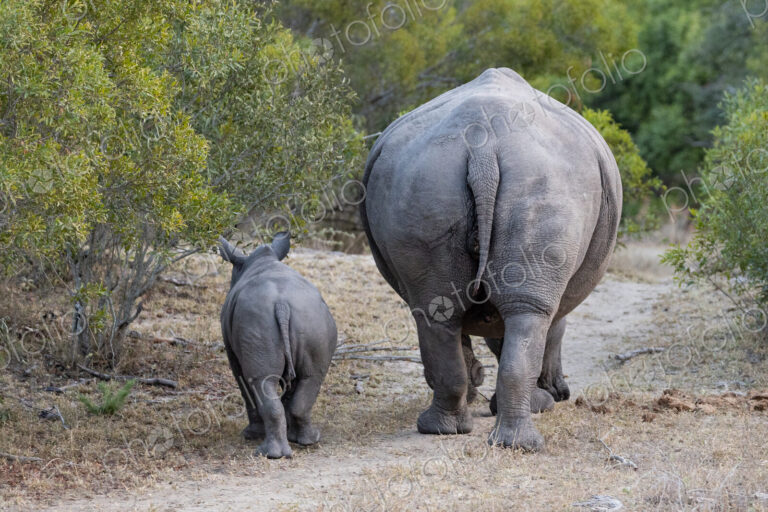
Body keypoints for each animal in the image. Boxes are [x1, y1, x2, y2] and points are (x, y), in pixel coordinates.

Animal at [219, 232, 337, 459]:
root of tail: (282, 305)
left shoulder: (231, 349)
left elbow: (244, 384)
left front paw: (251, 434)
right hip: (312, 319)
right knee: (313, 376)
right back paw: (308, 440)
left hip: (258, 321)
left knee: (261, 381)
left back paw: (269, 453)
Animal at [360, 68, 621, 451]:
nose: (564, 392)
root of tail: (483, 145)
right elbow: (541, 329)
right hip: (545, 182)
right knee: (530, 314)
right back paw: (521, 438)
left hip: (423, 180)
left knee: (439, 311)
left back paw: (447, 429)